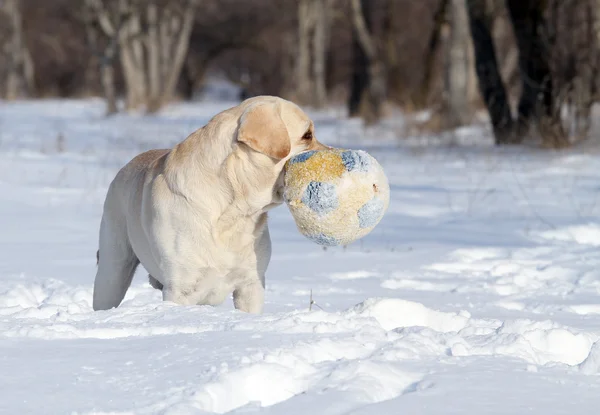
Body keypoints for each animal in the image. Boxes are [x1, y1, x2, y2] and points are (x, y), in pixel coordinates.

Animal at [92, 96, 328, 314]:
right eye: (307, 135)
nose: (333, 151)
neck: (234, 211)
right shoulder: (181, 289)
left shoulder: (251, 284)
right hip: (112, 272)